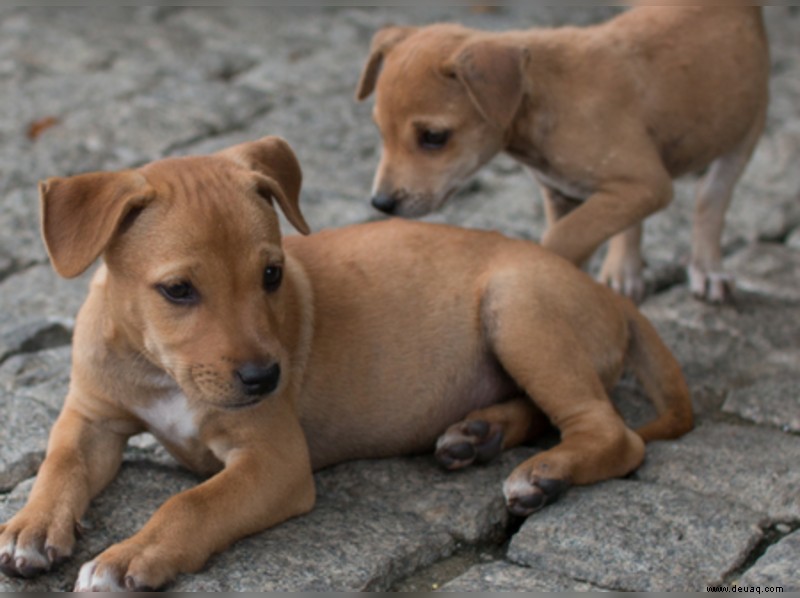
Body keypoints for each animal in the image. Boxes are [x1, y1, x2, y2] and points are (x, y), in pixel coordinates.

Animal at [0, 138, 692, 592]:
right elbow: (58, 466)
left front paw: (129, 557)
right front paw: (29, 527)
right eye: (177, 291)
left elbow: (193, 503)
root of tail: (609, 294)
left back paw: (543, 473)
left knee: (611, 433)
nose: (265, 379)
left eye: (272, 274)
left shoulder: (275, 460)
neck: (158, 369)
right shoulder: (91, 416)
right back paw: (479, 434)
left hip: (518, 307)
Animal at [356, 5, 768, 304]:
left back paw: (707, 268)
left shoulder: (646, 184)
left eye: (434, 137)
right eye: (379, 131)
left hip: (746, 129)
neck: (544, 95)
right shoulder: (563, 192)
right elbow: (582, 234)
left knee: (711, 199)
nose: (381, 204)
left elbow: (564, 238)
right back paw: (625, 271)